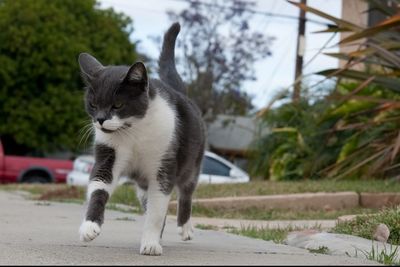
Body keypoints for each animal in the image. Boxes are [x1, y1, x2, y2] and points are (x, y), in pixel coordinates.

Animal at [77, 22, 205, 255]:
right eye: (93, 104)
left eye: (117, 105)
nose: (100, 120)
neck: (133, 132)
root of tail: (179, 92)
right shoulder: (108, 155)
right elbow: (98, 187)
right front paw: (89, 226)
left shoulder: (163, 167)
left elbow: (156, 212)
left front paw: (151, 244)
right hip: (144, 185)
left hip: (192, 164)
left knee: (186, 191)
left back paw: (185, 227)